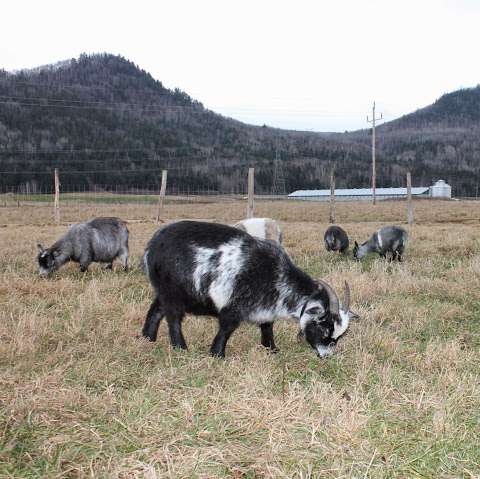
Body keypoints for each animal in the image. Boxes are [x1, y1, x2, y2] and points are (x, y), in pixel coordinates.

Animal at [142, 221, 352, 360]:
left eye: (339, 336)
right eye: (324, 328)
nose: (326, 355)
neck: (277, 276)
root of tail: (152, 245)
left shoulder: (266, 308)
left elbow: (267, 327)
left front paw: (272, 349)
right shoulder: (234, 306)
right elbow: (226, 328)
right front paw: (217, 354)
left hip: (166, 291)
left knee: (156, 309)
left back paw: (148, 338)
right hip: (173, 292)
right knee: (173, 318)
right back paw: (180, 348)